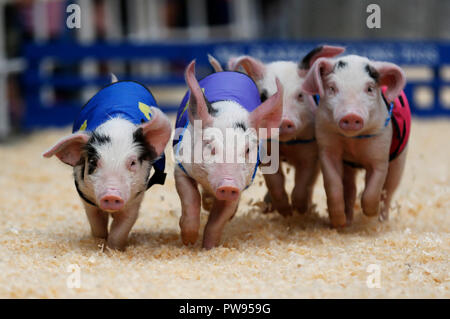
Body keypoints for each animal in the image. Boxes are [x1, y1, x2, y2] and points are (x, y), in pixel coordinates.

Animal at [302, 53, 412, 228]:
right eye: (332, 88)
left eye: (369, 89)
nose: (351, 115)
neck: (353, 142)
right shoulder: (326, 145)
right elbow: (333, 184)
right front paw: (338, 222)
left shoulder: (380, 148)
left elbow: (373, 188)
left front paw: (370, 213)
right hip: (348, 166)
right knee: (350, 189)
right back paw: (348, 221)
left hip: (400, 160)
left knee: (388, 191)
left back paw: (382, 221)